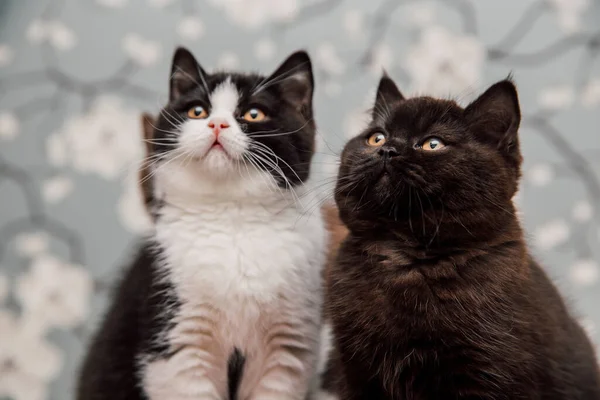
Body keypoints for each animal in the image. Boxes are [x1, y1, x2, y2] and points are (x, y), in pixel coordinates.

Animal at [77, 47, 330, 400]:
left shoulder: (287, 350)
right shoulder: (176, 341)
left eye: (254, 114)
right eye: (197, 111)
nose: (217, 123)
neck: (233, 217)